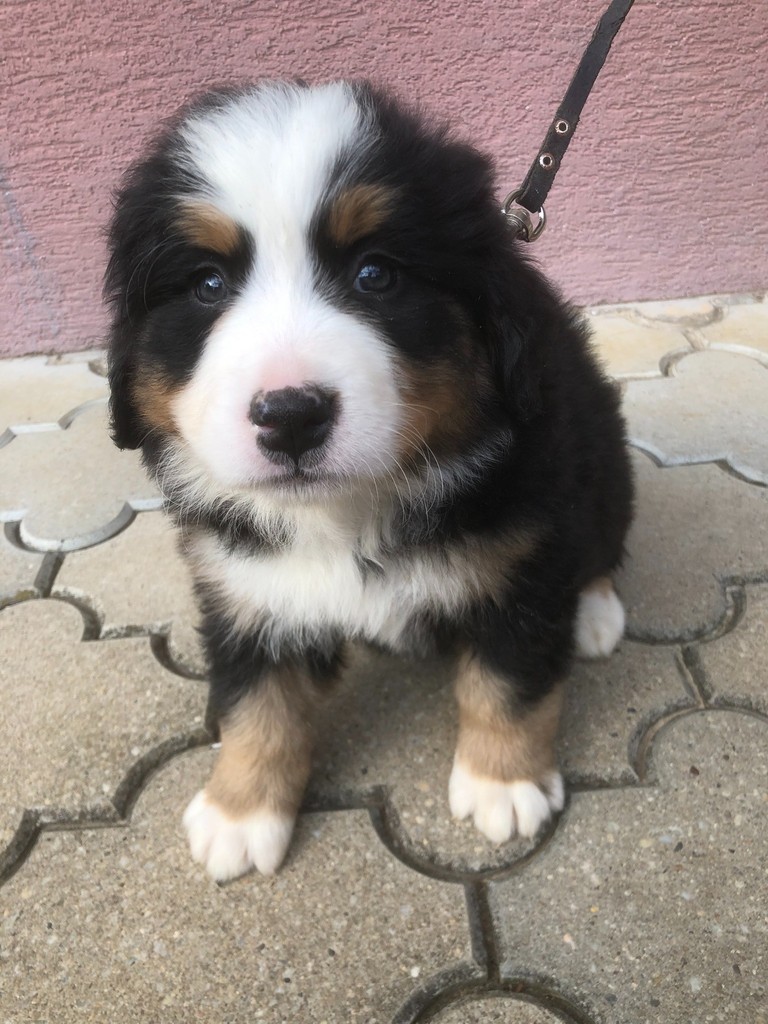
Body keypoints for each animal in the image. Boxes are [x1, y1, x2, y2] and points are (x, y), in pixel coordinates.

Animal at [106, 80, 633, 881]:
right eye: (207, 284)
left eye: (376, 274)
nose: (291, 415)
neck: (345, 513)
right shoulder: (243, 581)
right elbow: (256, 702)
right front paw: (239, 810)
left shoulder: (522, 559)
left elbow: (508, 683)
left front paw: (502, 784)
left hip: (602, 452)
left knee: (601, 542)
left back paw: (596, 615)